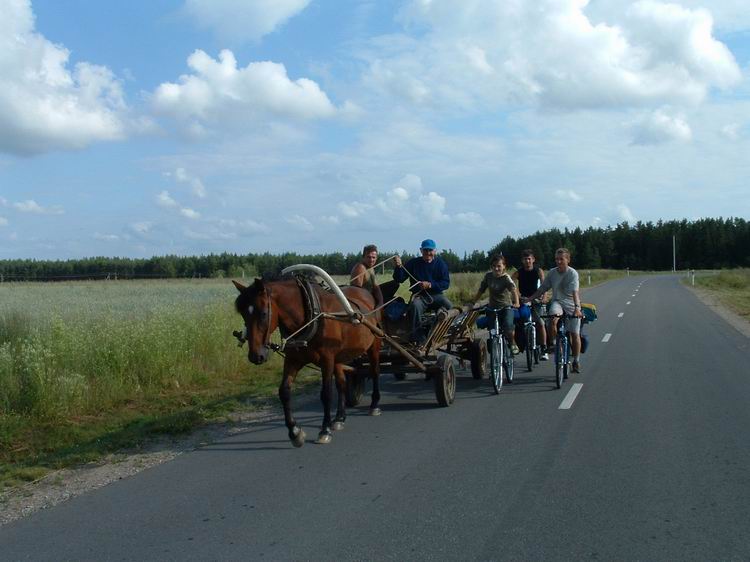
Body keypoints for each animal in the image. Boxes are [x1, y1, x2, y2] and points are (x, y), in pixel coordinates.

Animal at [234, 276, 382, 446]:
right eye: (243, 315)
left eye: (264, 314)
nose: (255, 356)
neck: (310, 316)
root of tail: (366, 293)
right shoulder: (293, 360)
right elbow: (284, 392)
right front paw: (295, 432)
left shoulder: (327, 360)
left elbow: (326, 394)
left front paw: (324, 430)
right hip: (338, 357)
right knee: (342, 383)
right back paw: (339, 418)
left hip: (374, 345)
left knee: (375, 371)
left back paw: (374, 405)